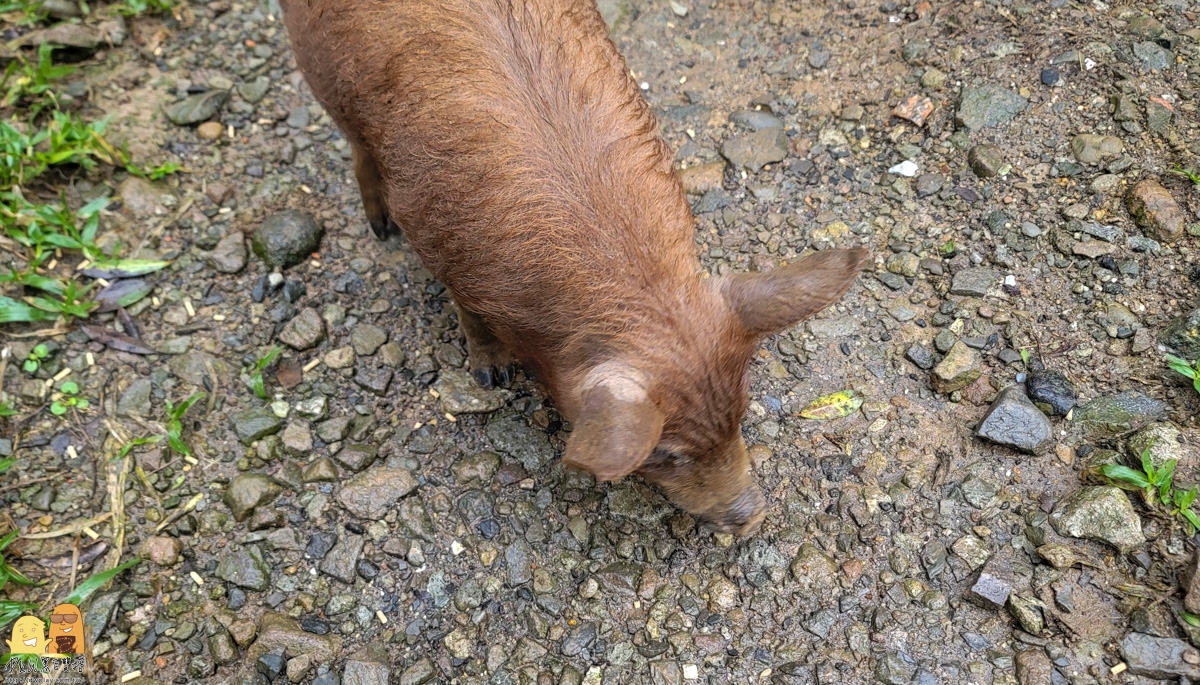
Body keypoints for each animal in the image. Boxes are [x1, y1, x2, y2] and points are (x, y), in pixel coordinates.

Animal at [279, 0, 864, 532]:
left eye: (741, 416)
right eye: (666, 454)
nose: (754, 517)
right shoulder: (444, 251)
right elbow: (471, 321)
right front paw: (491, 378)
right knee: (357, 148)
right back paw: (381, 230)